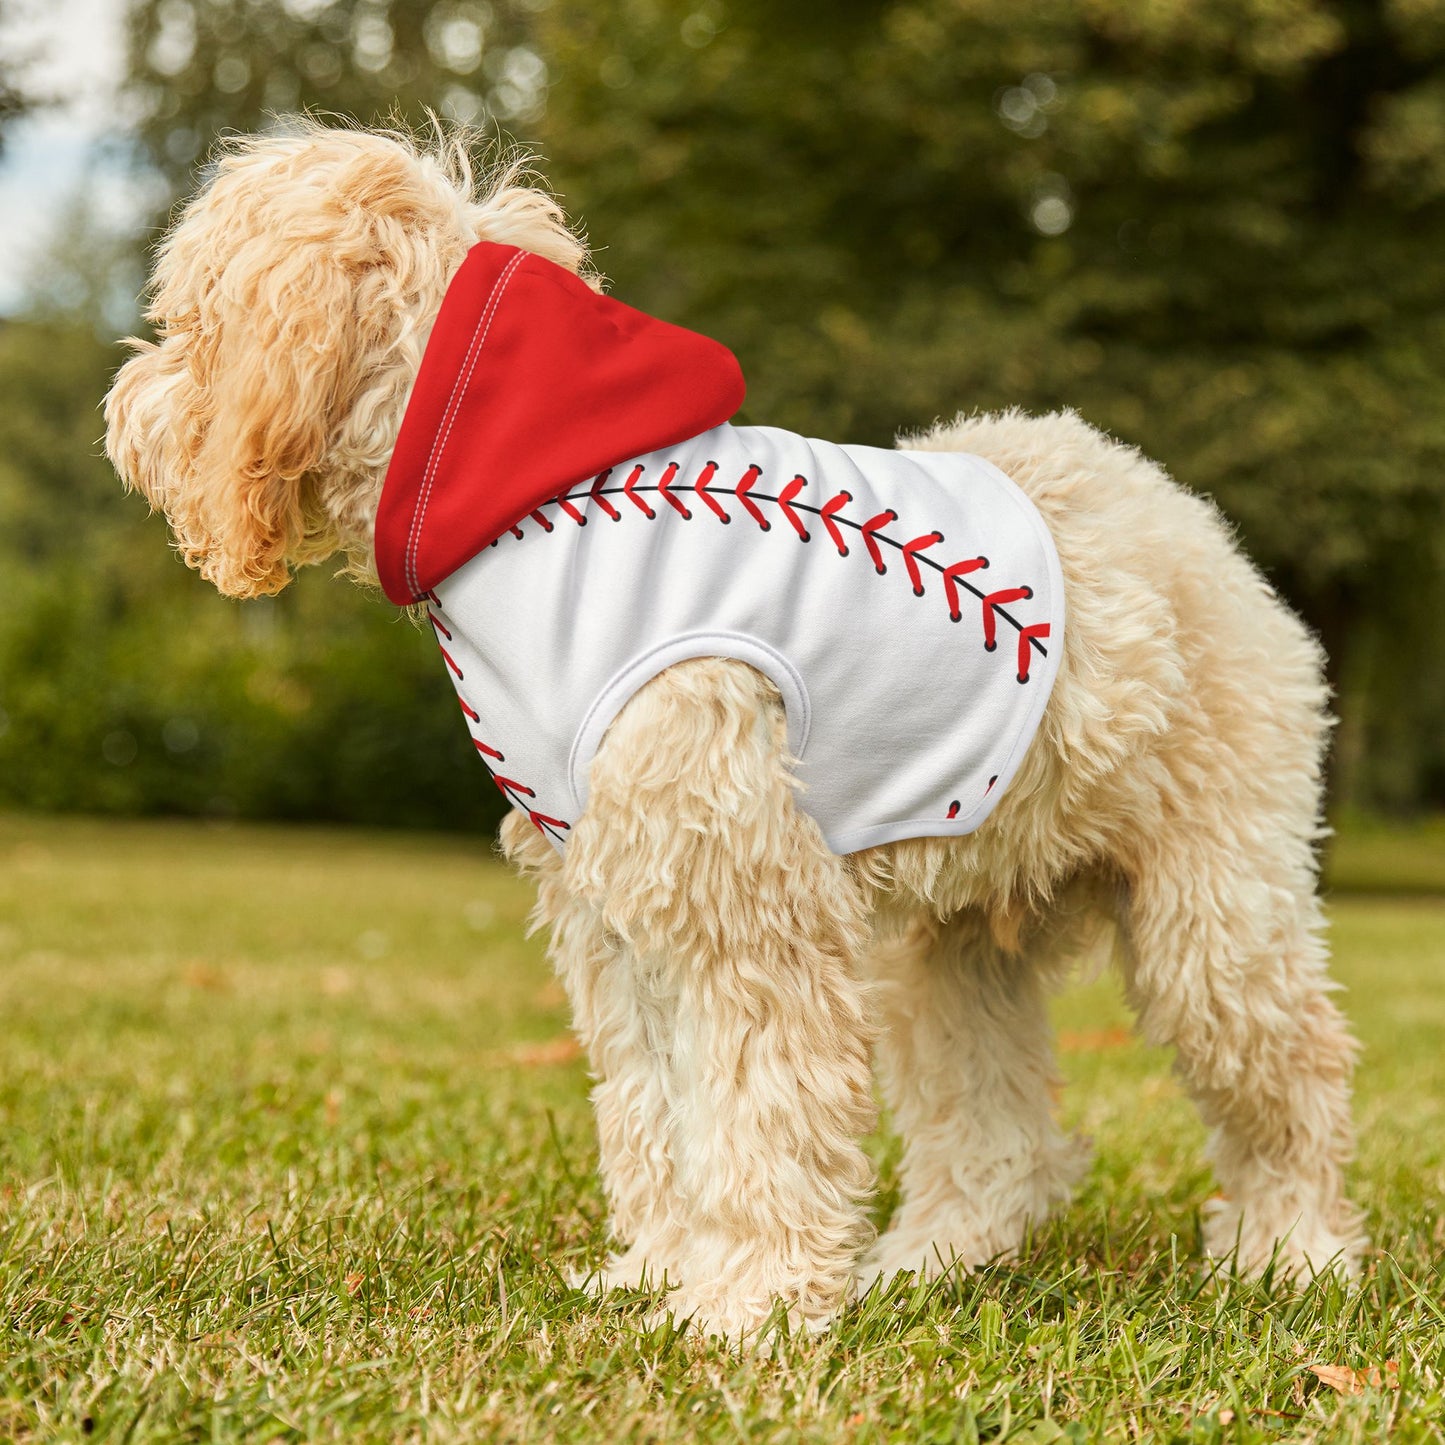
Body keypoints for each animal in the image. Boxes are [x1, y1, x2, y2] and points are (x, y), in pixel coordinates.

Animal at [104, 124, 1364, 1340]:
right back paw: (928, 1260)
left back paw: (1290, 1252)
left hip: (1211, 913)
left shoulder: (743, 905)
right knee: (995, 1132)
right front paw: (662, 1273)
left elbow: (759, 1109)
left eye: (190, 318)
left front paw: (747, 1304)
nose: (123, 408)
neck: (534, 500)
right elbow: (655, 1109)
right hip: (949, 949)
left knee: (1292, 1073)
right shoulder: (616, 913)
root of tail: (1185, 518)